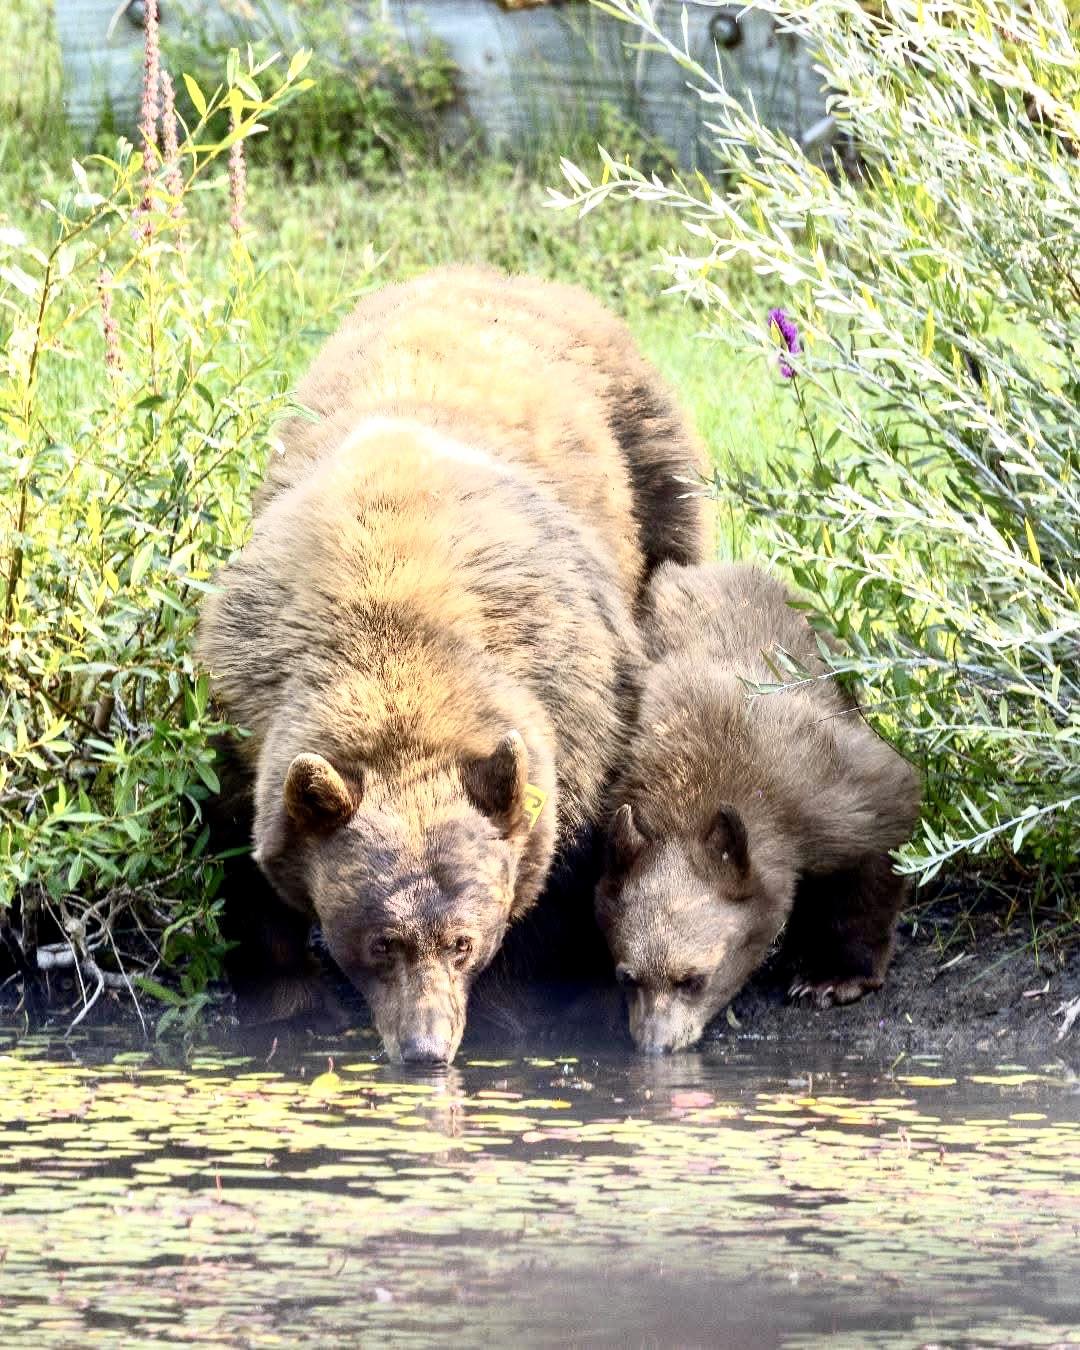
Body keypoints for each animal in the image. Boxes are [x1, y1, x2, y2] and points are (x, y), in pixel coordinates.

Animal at [198, 267, 707, 1063]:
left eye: (462, 942)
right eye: (381, 942)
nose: (425, 1049)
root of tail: (497, 275)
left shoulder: (573, 704)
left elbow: (552, 869)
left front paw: (510, 1009)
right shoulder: (244, 697)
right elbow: (243, 854)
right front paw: (288, 997)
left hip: (652, 460)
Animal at [594, 561, 921, 1054]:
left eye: (693, 979)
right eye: (627, 977)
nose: (655, 1046)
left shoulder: (817, 783)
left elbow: (882, 825)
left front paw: (833, 978)